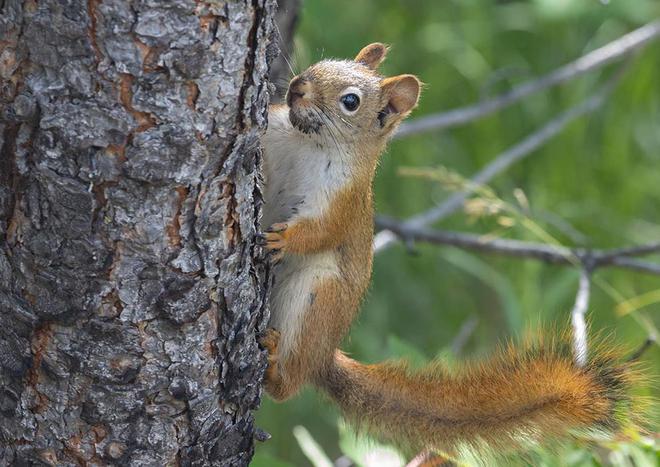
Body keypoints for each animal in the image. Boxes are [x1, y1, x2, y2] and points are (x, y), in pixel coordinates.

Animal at [256, 43, 636, 458]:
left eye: (350, 102)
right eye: (321, 64)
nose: (297, 87)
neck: (306, 142)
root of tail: (325, 356)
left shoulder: (342, 201)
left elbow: (322, 232)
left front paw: (283, 240)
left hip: (315, 298)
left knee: (289, 383)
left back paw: (274, 366)